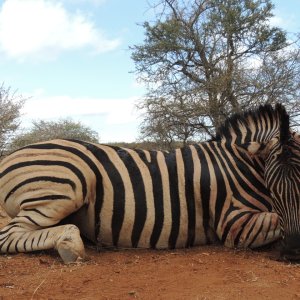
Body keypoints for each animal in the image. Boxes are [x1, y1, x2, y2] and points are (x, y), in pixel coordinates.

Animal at [0, 103, 300, 262]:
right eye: (273, 188)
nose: (293, 251)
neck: (240, 164)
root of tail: (10, 156)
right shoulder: (233, 223)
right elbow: (273, 219)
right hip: (67, 184)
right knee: (8, 235)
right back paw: (70, 245)